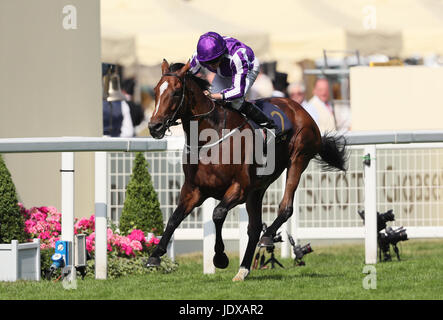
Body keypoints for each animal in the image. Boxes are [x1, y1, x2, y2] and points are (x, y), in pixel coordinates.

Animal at [146, 60, 346, 280]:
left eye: (175, 92)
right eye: (155, 91)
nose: (154, 126)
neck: (210, 137)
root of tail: (299, 108)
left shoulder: (238, 188)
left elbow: (217, 213)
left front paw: (220, 258)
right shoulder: (193, 189)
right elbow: (174, 218)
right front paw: (154, 256)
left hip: (298, 159)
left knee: (285, 208)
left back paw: (267, 238)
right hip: (258, 188)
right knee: (254, 227)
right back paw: (243, 269)